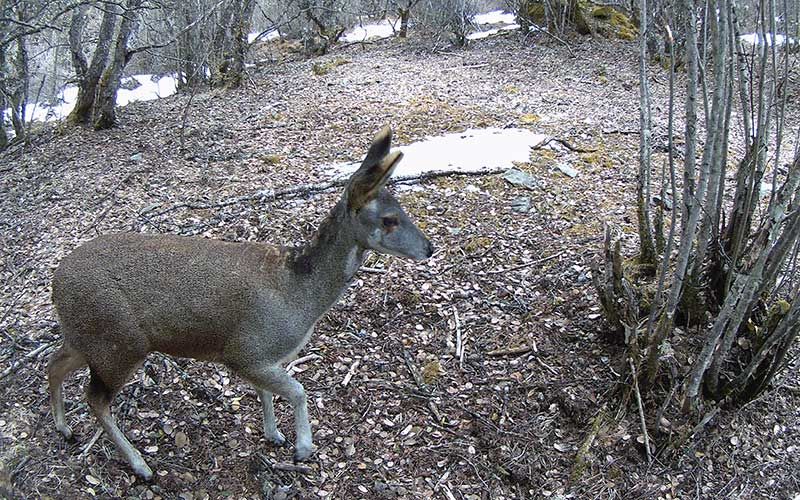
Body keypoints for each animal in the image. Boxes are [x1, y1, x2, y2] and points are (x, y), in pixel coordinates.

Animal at [45, 126, 432, 480]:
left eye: (403, 209)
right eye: (389, 219)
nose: (429, 248)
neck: (299, 296)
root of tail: (56, 280)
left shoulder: (265, 357)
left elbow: (266, 392)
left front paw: (274, 434)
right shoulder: (244, 350)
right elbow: (298, 391)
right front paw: (303, 447)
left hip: (89, 337)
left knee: (55, 363)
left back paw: (64, 428)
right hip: (119, 341)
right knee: (95, 398)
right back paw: (140, 465)